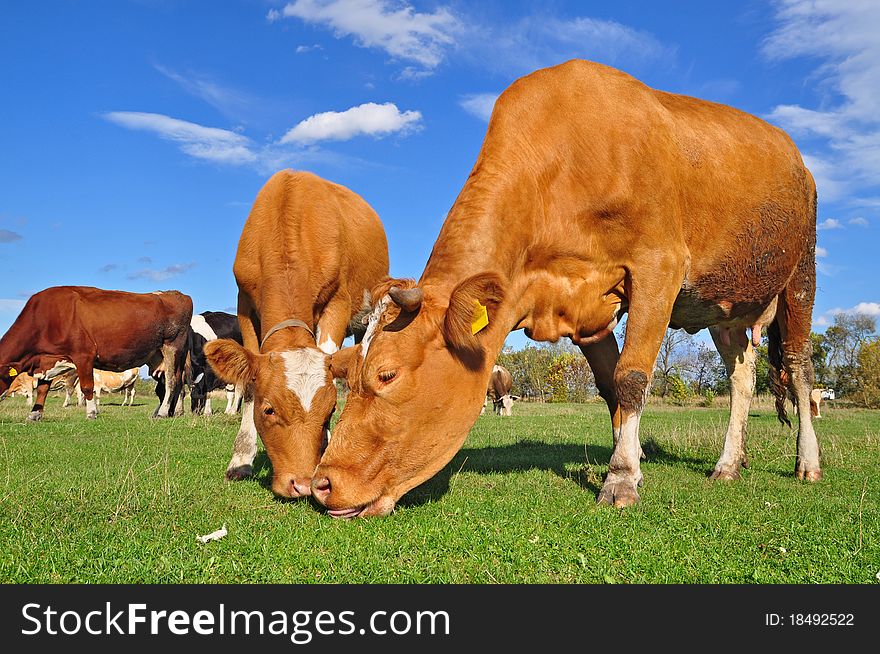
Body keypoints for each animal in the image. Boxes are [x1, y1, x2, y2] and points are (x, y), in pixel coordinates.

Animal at [0, 288, 192, 420]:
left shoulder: (84, 355)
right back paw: (169, 412)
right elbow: (42, 388)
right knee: (167, 384)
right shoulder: (48, 360)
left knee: (172, 381)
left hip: (172, 347)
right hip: (157, 357)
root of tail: (177, 294)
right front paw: (35, 414)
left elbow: (87, 387)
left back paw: (163, 412)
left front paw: (91, 412)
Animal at [205, 172, 388, 500]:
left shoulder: (338, 301)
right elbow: (247, 385)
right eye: (269, 409)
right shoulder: (244, 304)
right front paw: (241, 460)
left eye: (330, 411)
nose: (301, 484)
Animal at [312, 62, 820, 524]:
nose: (322, 483)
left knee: (799, 370)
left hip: (800, 275)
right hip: (724, 303)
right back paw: (729, 464)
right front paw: (630, 462)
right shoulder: (586, 311)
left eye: (387, 375)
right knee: (741, 376)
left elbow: (631, 378)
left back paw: (807, 463)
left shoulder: (660, 265)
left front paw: (620, 480)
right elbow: (610, 387)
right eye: (345, 372)